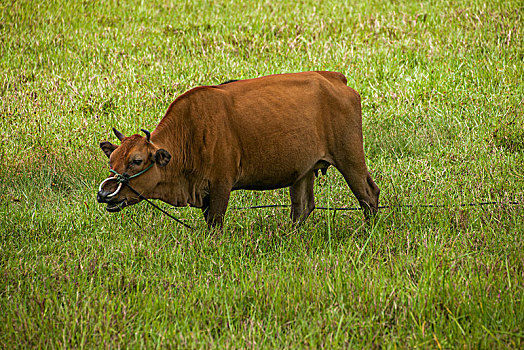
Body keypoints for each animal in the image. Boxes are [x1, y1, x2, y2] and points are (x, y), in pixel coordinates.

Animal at [96, 72, 378, 228]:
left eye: (137, 160)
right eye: (112, 160)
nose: (105, 194)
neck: (191, 131)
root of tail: (335, 78)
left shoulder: (221, 186)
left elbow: (215, 224)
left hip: (350, 158)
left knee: (369, 195)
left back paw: (368, 231)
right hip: (303, 171)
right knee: (302, 207)